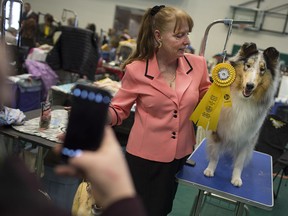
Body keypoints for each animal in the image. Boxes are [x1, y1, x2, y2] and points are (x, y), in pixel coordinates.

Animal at [204, 41, 280, 186]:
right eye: (248, 66)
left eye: (262, 69)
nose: (250, 86)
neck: (243, 99)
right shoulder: (218, 130)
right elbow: (215, 154)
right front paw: (210, 170)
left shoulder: (247, 137)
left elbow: (239, 162)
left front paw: (236, 178)